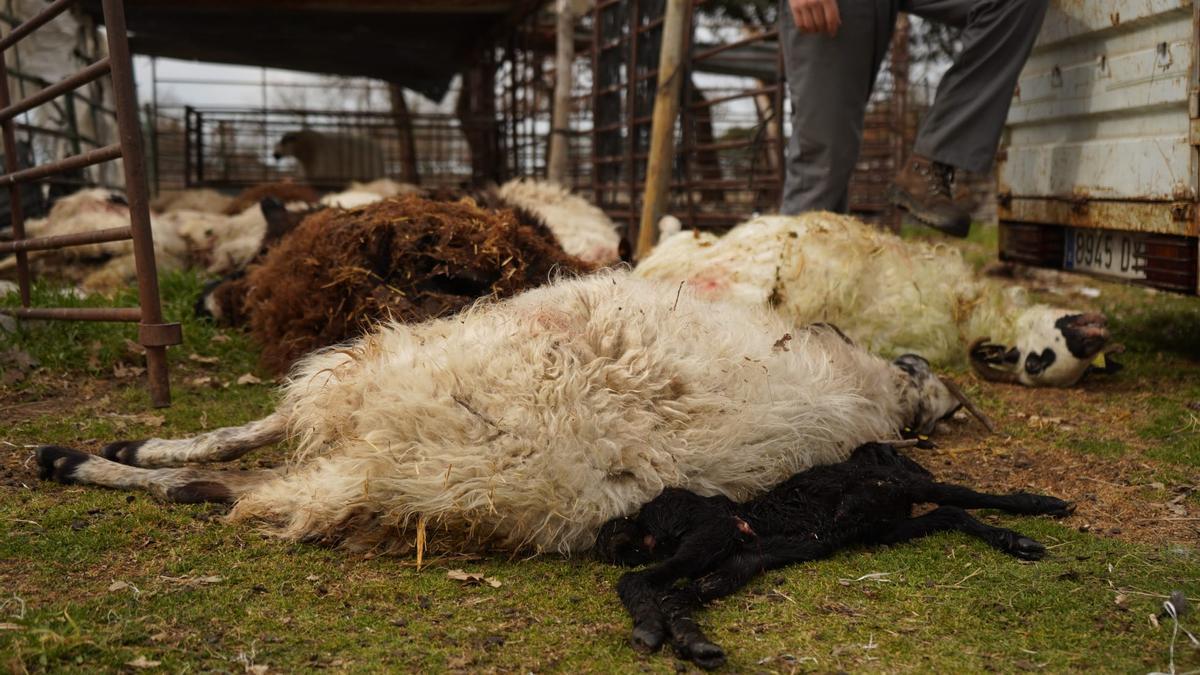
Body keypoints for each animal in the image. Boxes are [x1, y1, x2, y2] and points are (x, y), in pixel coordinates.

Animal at [595, 441, 1075, 667]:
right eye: (897, 452)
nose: (917, 463)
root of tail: (641, 519)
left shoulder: (887, 529)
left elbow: (953, 512)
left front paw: (1017, 541)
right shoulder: (905, 491)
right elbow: (966, 496)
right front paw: (1043, 507)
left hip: (737, 559)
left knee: (677, 591)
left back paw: (696, 645)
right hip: (714, 532)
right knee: (638, 580)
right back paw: (650, 632)